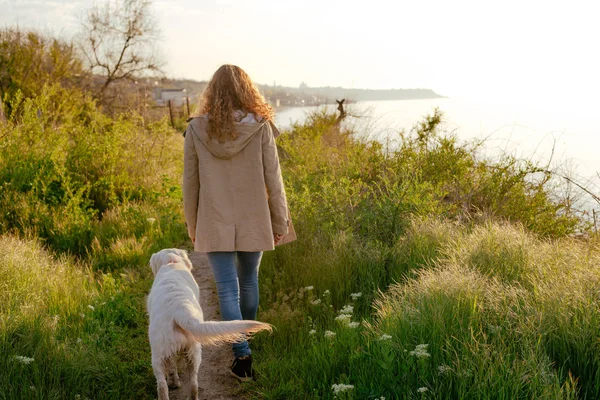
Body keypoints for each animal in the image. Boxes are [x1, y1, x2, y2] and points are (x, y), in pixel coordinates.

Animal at [148, 248, 272, 398]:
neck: (171, 263)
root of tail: (179, 310)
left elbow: (171, 367)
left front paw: (174, 382)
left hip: (157, 355)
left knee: (162, 386)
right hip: (193, 351)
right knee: (193, 384)